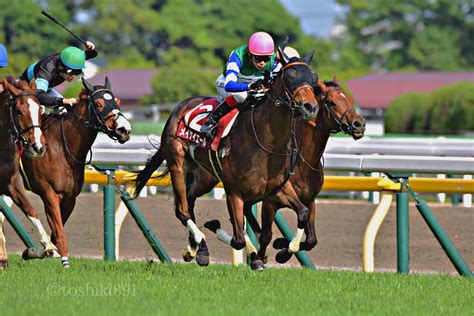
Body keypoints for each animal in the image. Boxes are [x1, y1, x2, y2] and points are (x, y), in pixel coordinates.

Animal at [20, 77, 131, 266]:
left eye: (117, 101)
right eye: (99, 104)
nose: (125, 130)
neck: (61, 149)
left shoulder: (69, 198)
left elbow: (56, 233)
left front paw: (35, 251)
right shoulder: (49, 194)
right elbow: (58, 230)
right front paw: (63, 259)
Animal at [133, 49, 318, 270]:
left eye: (313, 79)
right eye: (290, 77)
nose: (310, 107)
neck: (265, 144)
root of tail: (181, 106)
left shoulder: (277, 189)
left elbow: (302, 213)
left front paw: (283, 249)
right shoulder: (234, 191)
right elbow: (238, 238)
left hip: (201, 175)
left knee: (190, 199)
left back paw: (195, 250)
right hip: (177, 160)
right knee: (182, 210)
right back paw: (201, 247)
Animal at [176, 78, 364, 266]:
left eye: (350, 100)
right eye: (331, 103)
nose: (359, 124)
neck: (303, 160)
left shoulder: (309, 200)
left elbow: (311, 239)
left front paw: (281, 247)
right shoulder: (270, 201)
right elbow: (267, 235)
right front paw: (268, 253)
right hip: (206, 180)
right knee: (190, 198)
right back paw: (198, 248)